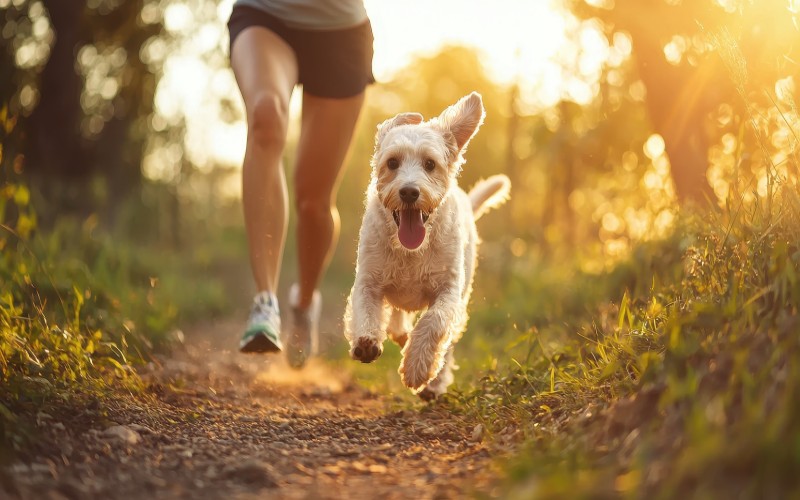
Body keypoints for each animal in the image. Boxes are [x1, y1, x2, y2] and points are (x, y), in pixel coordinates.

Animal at [342, 92, 506, 400]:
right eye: (392, 162)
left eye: (430, 164)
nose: (409, 191)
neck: (411, 251)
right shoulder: (368, 280)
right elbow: (365, 309)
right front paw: (366, 341)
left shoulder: (449, 291)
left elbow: (434, 323)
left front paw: (417, 367)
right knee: (396, 318)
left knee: (446, 343)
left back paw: (434, 382)